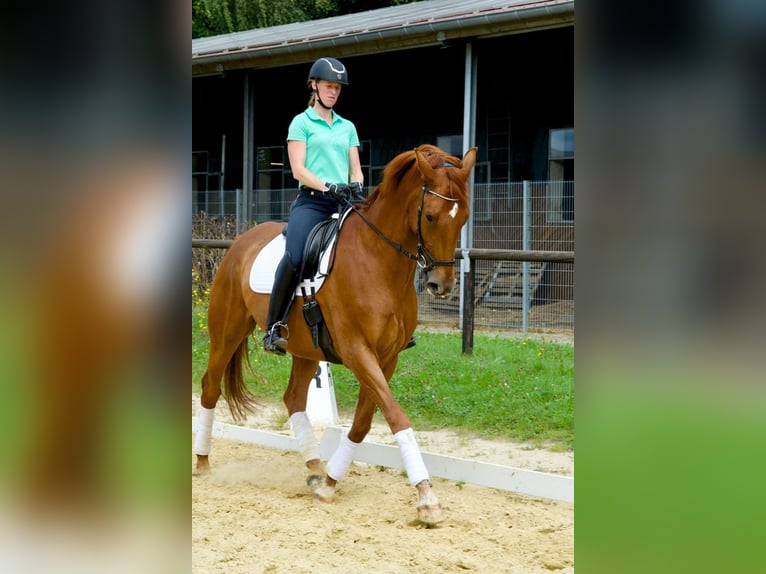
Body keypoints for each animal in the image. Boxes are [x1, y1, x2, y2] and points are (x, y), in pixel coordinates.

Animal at [195, 143, 476, 528]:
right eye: (431, 216)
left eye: (463, 217)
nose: (441, 286)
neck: (379, 260)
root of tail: (242, 240)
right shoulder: (358, 350)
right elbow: (396, 416)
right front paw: (427, 498)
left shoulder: (386, 358)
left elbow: (362, 423)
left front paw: (329, 483)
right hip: (227, 331)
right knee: (210, 386)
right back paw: (203, 463)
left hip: (304, 348)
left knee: (293, 399)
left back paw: (315, 467)